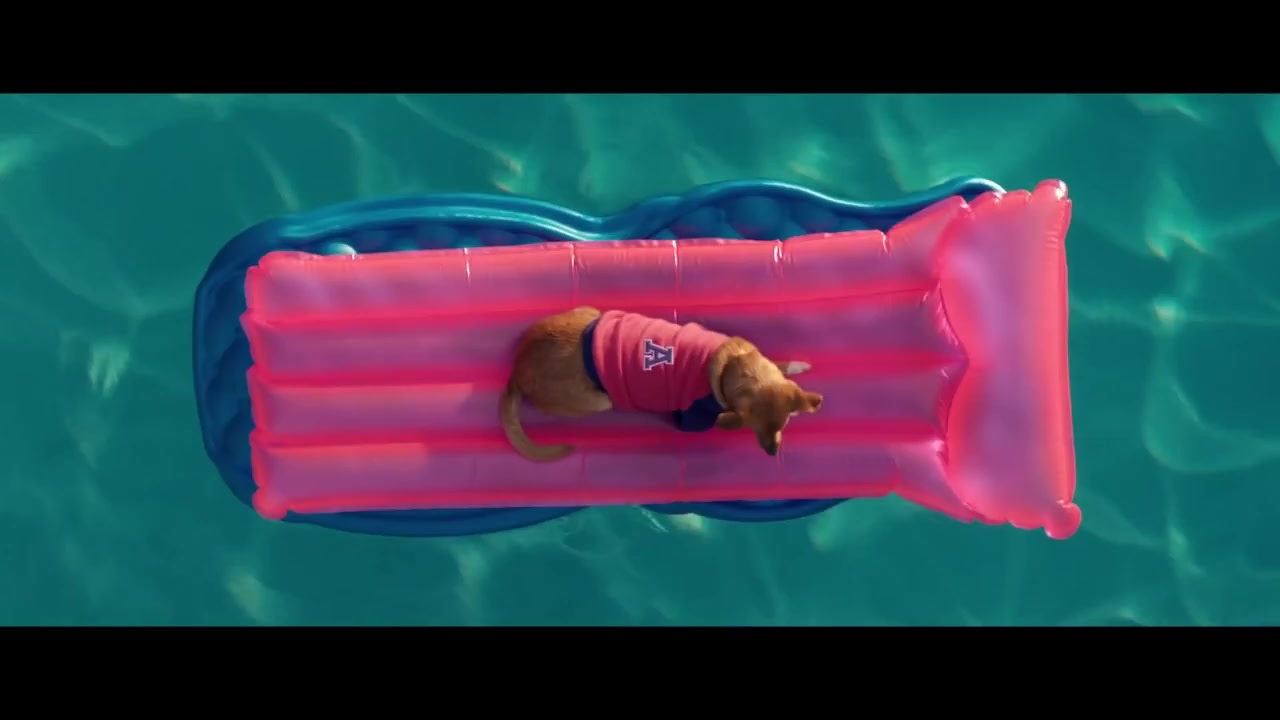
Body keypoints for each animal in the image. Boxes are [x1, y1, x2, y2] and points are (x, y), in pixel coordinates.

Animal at [500, 306, 823, 462]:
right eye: (756, 429)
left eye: (782, 426)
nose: (772, 453)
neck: (730, 363)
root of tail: (517, 369)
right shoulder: (694, 417)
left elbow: (781, 367)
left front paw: (797, 368)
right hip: (600, 400)